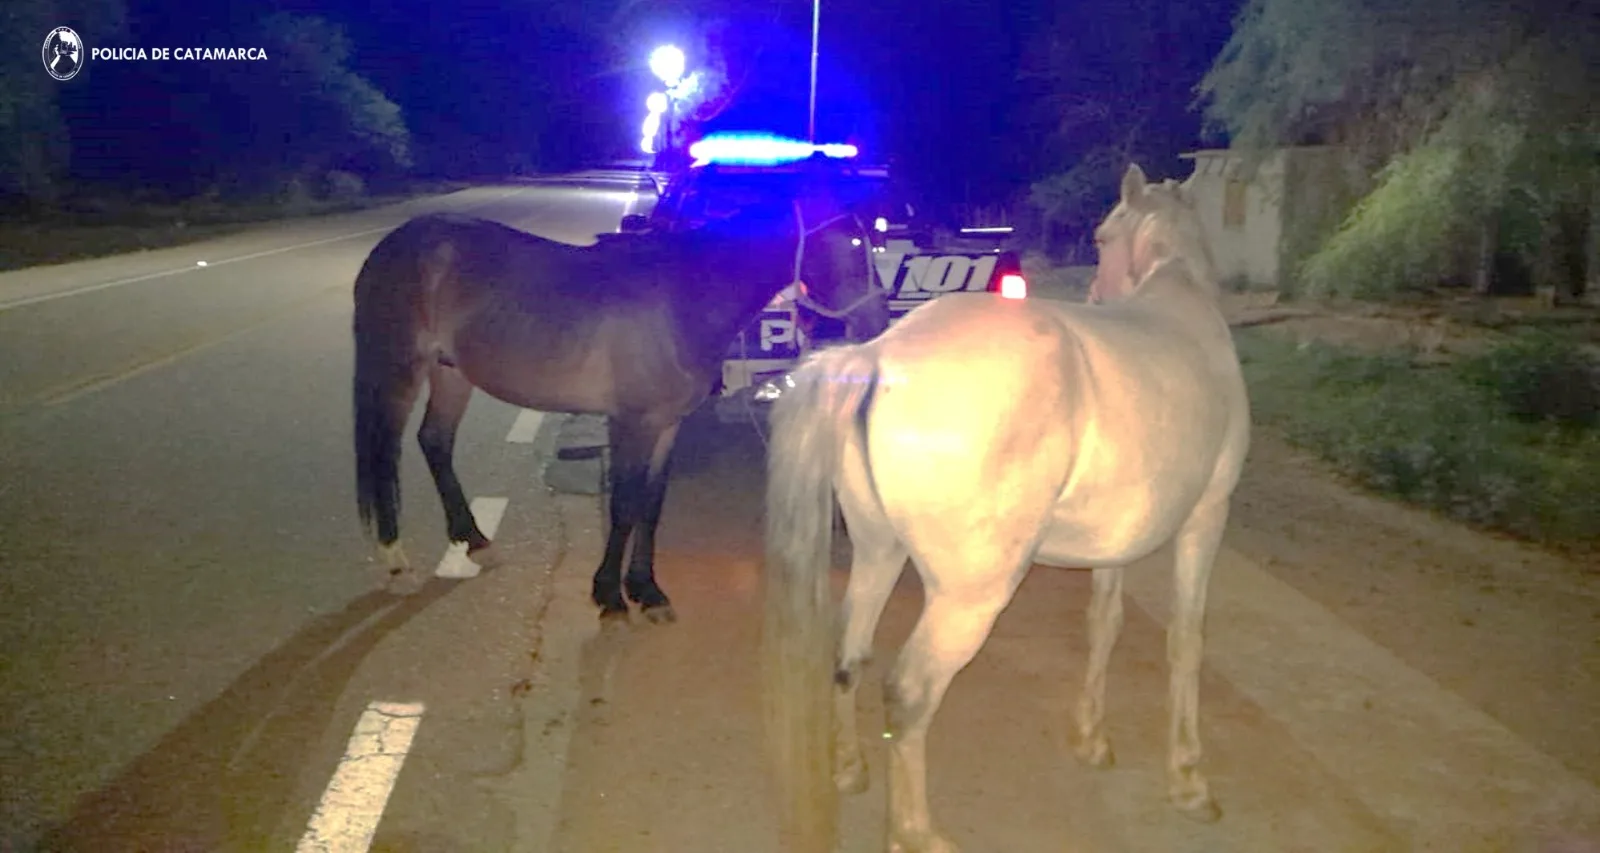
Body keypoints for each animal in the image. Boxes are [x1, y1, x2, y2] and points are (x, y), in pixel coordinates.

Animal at [348, 184, 889, 617]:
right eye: (855, 242)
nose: (878, 325)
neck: (682, 295)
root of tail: (393, 245)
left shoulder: (668, 425)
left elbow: (651, 505)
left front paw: (646, 589)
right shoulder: (632, 423)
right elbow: (626, 504)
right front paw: (608, 592)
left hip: (451, 373)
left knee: (434, 441)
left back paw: (475, 540)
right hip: (398, 367)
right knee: (385, 452)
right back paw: (396, 562)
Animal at [761, 161, 1248, 851]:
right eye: (1100, 238)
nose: (1096, 294)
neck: (1177, 292)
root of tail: (876, 355)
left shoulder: (1117, 543)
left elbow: (1105, 624)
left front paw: (1090, 737)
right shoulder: (1206, 518)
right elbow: (1186, 639)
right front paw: (1188, 778)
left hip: (879, 553)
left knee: (848, 653)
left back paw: (849, 768)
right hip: (969, 597)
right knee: (909, 694)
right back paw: (914, 832)